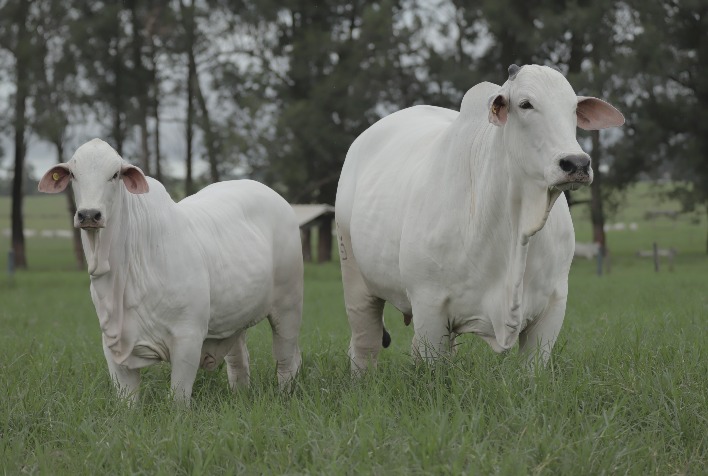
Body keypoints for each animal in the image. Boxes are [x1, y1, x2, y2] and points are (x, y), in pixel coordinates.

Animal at [38, 139, 302, 404]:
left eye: (114, 175)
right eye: (73, 174)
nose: (89, 214)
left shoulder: (188, 339)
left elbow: (178, 398)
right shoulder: (113, 344)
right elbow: (127, 399)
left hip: (288, 306)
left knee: (287, 360)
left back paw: (286, 396)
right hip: (235, 318)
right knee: (239, 363)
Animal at [338, 64, 624, 372]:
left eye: (573, 108)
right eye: (525, 104)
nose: (577, 163)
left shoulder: (553, 306)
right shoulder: (429, 307)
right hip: (355, 279)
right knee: (364, 346)